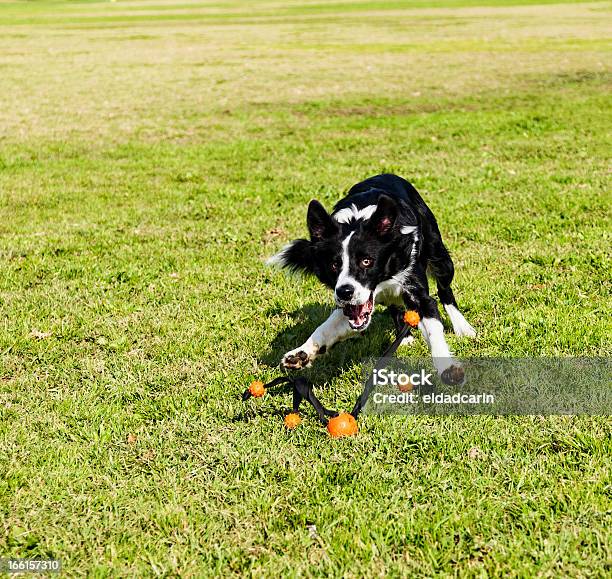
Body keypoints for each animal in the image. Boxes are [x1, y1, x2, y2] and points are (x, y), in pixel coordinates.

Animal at [268, 176, 478, 386]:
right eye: (334, 265)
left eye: (366, 261)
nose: (344, 292)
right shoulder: (351, 305)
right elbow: (328, 326)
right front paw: (301, 353)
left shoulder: (415, 288)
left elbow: (433, 323)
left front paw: (448, 369)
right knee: (395, 305)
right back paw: (404, 336)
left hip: (439, 256)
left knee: (444, 290)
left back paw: (462, 327)